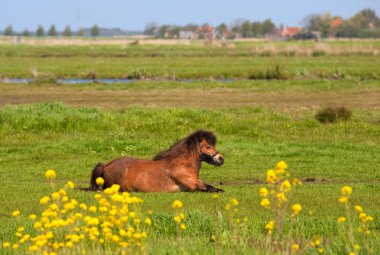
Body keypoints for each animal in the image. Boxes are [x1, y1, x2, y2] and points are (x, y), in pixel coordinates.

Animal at [90, 130, 224, 192]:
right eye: (208, 146)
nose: (221, 159)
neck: (182, 164)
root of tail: (106, 166)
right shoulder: (193, 184)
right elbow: (212, 188)